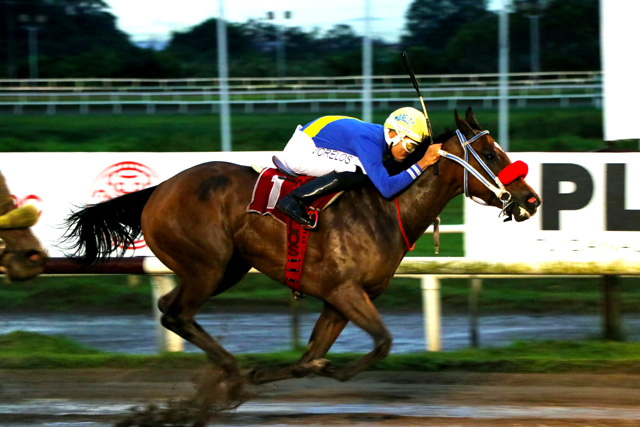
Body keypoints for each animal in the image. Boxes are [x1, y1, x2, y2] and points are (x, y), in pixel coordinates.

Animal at [63, 108, 540, 390]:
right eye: (490, 153)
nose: (532, 199)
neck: (385, 210)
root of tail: (159, 189)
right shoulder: (346, 291)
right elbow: (381, 343)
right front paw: (327, 370)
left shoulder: (340, 299)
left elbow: (312, 353)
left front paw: (281, 370)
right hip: (207, 266)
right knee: (175, 312)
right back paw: (232, 370)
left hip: (229, 268)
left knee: (171, 308)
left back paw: (238, 371)